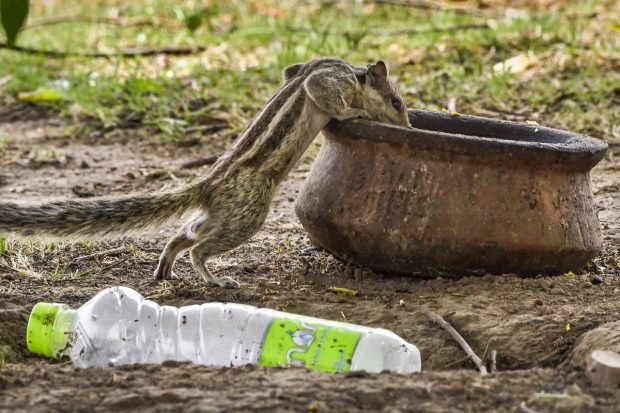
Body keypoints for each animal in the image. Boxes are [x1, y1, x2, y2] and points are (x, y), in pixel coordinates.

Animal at [0, 58, 412, 286]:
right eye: (396, 101)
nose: (408, 125)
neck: (354, 76)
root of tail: (210, 185)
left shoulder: (302, 69)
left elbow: (295, 72)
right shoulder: (329, 79)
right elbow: (321, 91)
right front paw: (354, 112)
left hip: (220, 217)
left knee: (184, 236)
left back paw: (166, 267)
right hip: (248, 214)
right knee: (200, 249)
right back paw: (215, 280)